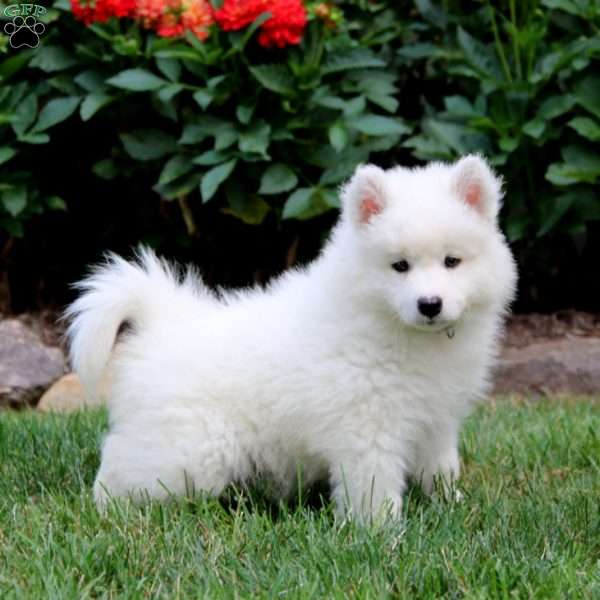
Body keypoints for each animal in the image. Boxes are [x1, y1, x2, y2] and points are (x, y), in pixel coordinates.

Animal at [67, 155, 516, 520]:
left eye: (452, 261)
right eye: (400, 266)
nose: (430, 304)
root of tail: (161, 322)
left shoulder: (436, 420)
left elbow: (439, 467)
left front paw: (450, 503)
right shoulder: (366, 426)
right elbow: (373, 485)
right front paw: (382, 533)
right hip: (189, 453)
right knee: (122, 470)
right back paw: (109, 508)